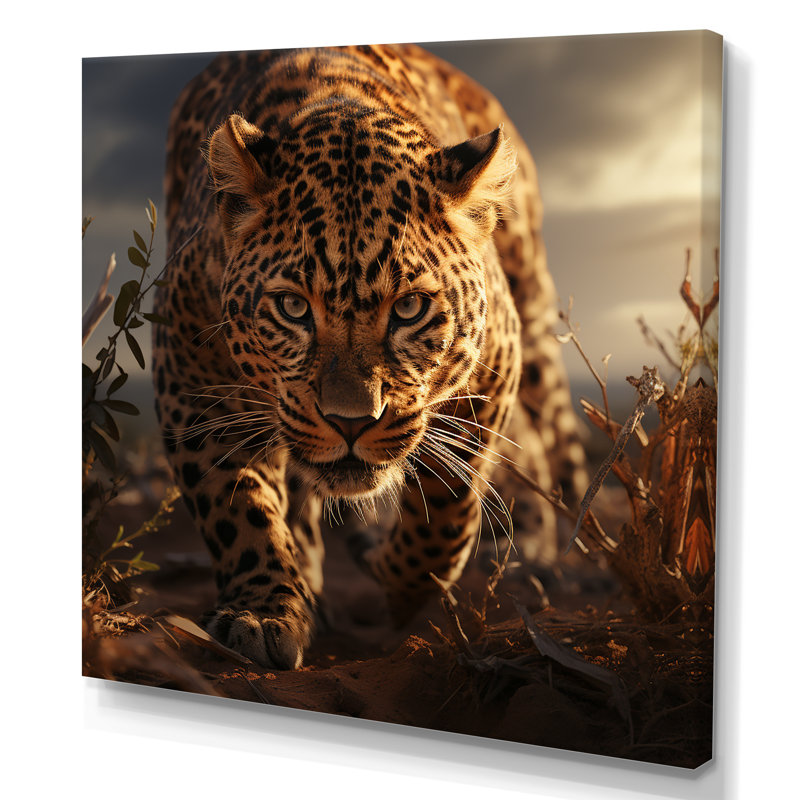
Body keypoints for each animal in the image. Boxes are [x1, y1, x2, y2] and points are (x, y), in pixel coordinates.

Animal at [153, 44, 586, 670]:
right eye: (292, 307)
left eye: (409, 308)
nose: (351, 423)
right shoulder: (193, 381)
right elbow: (238, 509)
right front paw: (264, 610)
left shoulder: (495, 362)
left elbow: (448, 506)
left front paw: (403, 587)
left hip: (533, 312)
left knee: (552, 438)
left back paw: (550, 557)